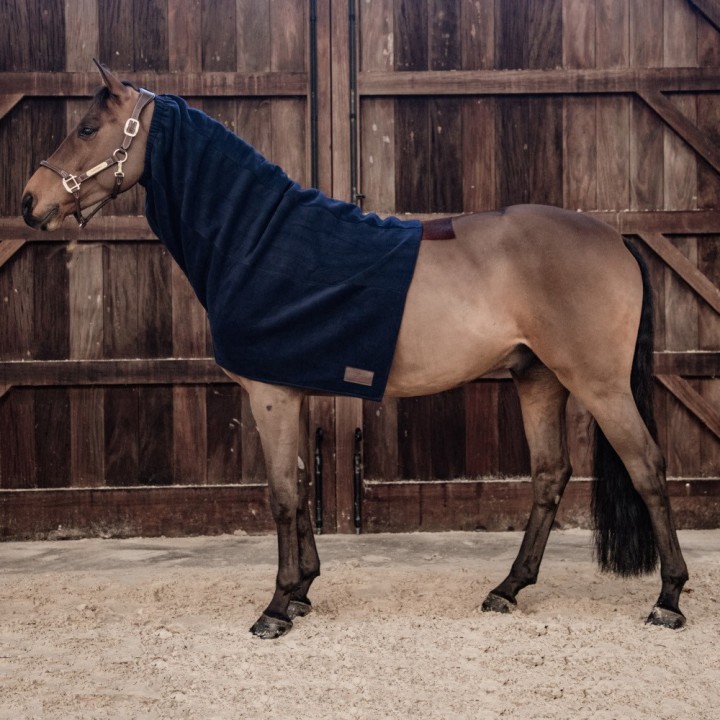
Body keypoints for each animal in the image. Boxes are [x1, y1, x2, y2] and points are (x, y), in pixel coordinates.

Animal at [22, 63, 689, 639]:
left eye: (87, 129)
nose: (30, 202)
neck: (259, 239)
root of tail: (615, 237)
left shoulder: (270, 394)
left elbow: (281, 496)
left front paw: (276, 607)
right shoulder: (289, 391)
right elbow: (299, 487)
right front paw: (303, 591)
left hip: (598, 384)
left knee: (647, 469)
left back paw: (668, 599)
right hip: (539, 378)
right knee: (550, 475)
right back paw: (507, 589)